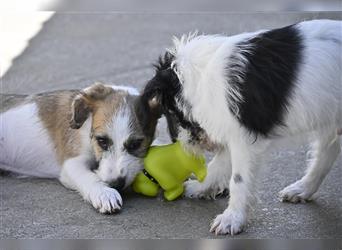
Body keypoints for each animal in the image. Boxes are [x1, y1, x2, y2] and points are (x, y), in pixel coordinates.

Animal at [0, 83, 152, 214]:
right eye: (101, 141)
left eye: (135, 144)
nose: (115, 184)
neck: (88, 123)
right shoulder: (72, 163)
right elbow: (89, 177)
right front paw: (104, 193)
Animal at [127, 19, 340, 234]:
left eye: (170, 112)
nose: (180, 143)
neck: (201, 77)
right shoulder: (232, 130)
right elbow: (217, 165)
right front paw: (200, 188)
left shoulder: (243, 138)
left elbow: (238, 179)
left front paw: (232, 218)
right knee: (324, 155)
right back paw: (302, 189)